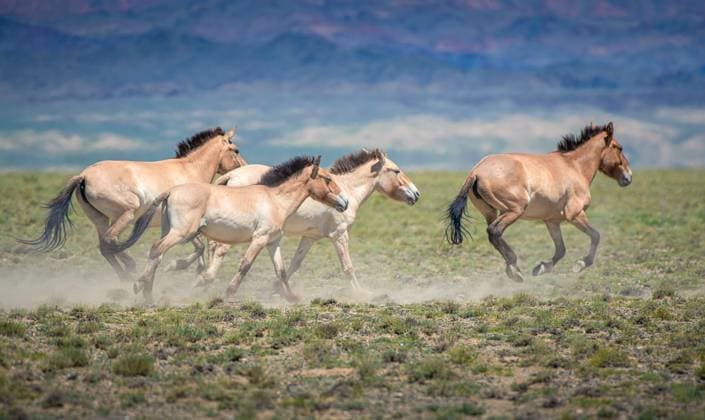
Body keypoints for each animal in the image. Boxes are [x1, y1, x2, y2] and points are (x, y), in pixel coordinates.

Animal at [20, 127, 247, 281]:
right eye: (235, 150)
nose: (244, 167)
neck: (188, 170)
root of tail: (83, 176)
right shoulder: (183, 224)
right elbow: (198, 247)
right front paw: (176, 266)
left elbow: (198, 246)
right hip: (127, 213)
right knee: (110, 241)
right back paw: (130, 267)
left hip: (100, 219)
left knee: (104, 245)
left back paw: (125, 275)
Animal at [106, 155, 349, 302]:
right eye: (327, 179)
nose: (345, 202)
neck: (275, 200)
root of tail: (171, 191)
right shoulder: (259, 239)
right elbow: (245, 265)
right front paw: (229, 293)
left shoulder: (272, 242)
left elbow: (280, 270)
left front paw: (291, 297)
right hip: (181, 233)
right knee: (156, 249)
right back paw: (140, 287)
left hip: (171, 231)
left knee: (157, 254)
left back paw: (148, 293)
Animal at [183, 149, 420, 295]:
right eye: (396, 170)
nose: (416, 194)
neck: (348, 191)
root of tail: (231, 176)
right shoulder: (339, 235)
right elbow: (348, 267)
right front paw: (362, 294)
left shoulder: (310, 237)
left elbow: (294, 263)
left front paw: (276, 287)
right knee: (220, 249)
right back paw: (205, 278)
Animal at [445, 122, 632, 281]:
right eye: (619, 147)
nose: (628, 177)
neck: (574, 166)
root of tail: (476, 172)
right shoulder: (575, 214)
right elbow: (595, 236)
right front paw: (580, 264)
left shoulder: (552, 221)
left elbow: (561, 249)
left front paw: (541, 268)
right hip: (514, 210)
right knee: (494, 231)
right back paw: (514, 268)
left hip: (492, 212)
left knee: (494, 234)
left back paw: (513, 269)